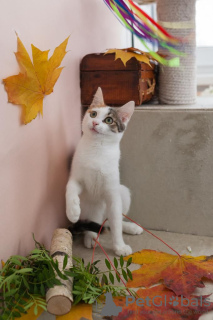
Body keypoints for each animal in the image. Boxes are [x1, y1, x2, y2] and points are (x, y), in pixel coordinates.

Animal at [65, 87, 142, 255]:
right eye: (93, 114)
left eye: (109, 120)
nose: (94, 122)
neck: (97, 149)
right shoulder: (77, 177)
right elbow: (70, 187)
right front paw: (72, 210)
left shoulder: (112, 192)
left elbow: (116, 222)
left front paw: (119, 246)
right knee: (97, 224)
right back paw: (91, 237)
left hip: (122, 192)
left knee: (111, 221)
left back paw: (130, 227)